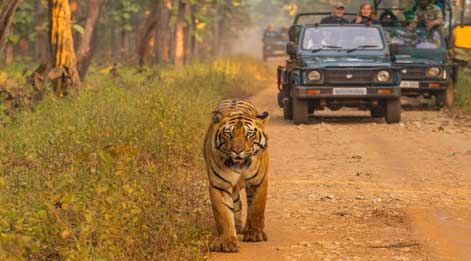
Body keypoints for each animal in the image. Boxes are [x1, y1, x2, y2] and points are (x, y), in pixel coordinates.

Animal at [203, 98, 270, 251]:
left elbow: (257, 207)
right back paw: (238, 226)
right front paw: (227, 242)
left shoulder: (259, 181)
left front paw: (255, 234)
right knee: (237, 203)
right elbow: (224, 214)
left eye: (249, 134)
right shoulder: (220, 185)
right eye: (228, 133)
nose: (237, 150)